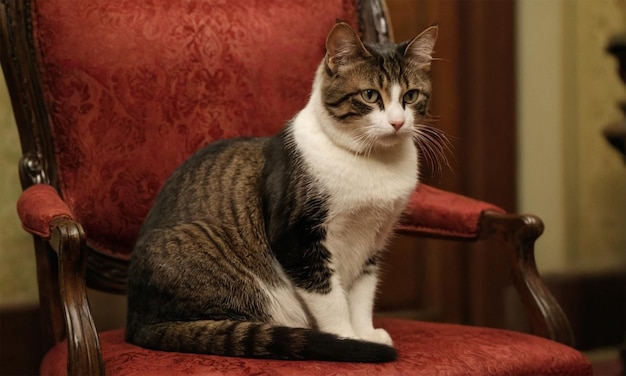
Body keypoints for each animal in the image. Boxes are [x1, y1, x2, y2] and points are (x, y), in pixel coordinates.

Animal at [125, 22, 438, 362]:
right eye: (370, 95)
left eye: (410, 96)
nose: (397, 122)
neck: (374, 162)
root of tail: (136, 324)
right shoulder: (298, 239)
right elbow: (331, 298)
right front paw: (348, 339)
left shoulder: (372, 240)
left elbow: (361, 295)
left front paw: (365, 333)